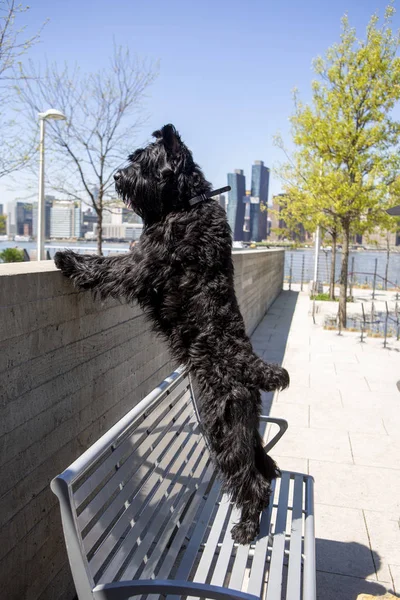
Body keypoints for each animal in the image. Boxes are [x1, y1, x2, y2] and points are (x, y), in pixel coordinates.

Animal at [54, 123, 290, 544]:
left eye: (145, 162)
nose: (119, 176)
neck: (186, 205)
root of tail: (249, 363)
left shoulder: (141, 262)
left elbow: (107, 266)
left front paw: (70, 260)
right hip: (245, 424)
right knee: (265, 465)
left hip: (221, 426)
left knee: (252, 479)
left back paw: (246, 528)